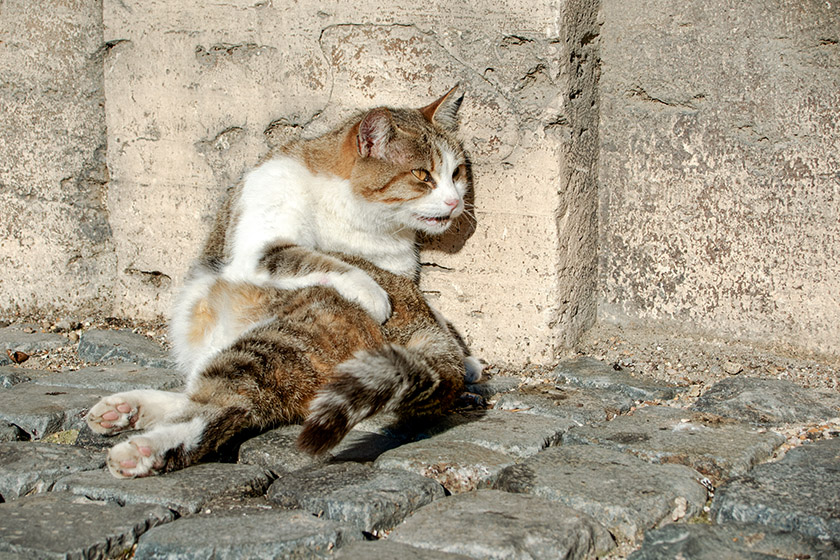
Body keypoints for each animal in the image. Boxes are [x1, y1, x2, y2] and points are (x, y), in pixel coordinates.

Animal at [87, 254, 466, 476]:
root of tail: (426, 317)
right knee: (222, 401)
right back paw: (125, 410)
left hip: (273, 343)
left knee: (219, 408)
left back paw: (142, 450)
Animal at [169, 86, 480, 384]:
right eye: (422, 175)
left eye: (456, 173)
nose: (455, 202)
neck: (361, 220)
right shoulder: (257, 245)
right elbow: (318, 260)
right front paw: (373, 294)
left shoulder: (398, 269)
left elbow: (430, 310)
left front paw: (463, 356)